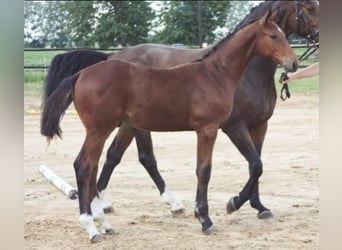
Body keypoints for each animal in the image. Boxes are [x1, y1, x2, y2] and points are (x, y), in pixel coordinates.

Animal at [41, 0, 320, 218]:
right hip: (119, 127)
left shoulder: (259, 125)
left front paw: (258, 206)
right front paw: (232, 204)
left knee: (114, 157)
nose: (293, 63)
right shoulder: (230, 126)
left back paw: (109, 205)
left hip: (128, 125)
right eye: (310, 7)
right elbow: (246, 165)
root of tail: (105, 60)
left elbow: (257, 165)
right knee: (127, 159)